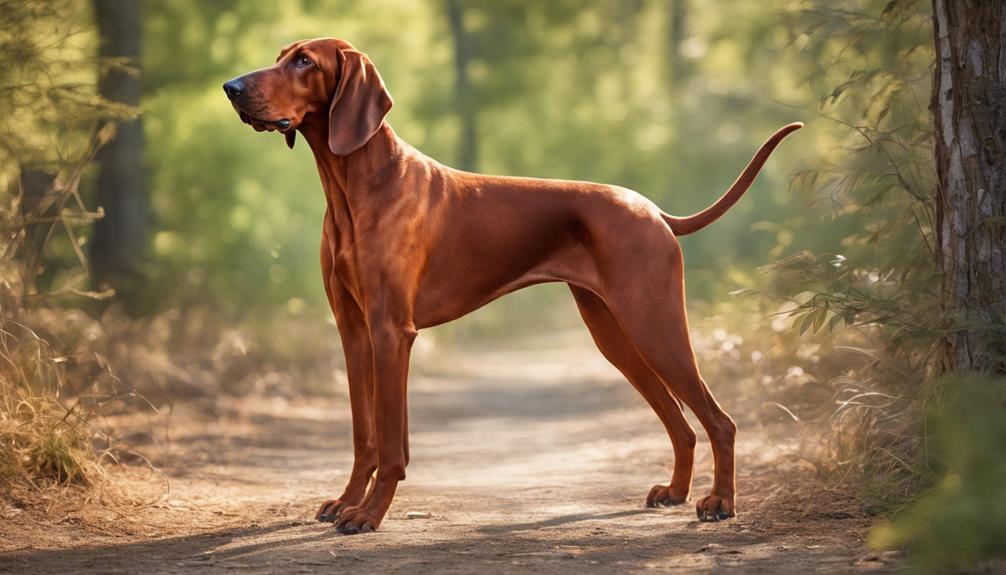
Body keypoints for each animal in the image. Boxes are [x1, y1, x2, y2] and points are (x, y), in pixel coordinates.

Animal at [226, 38, 800, 534]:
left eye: (304, 61)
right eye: (279, 55)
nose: (231, 87)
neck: (356, 185)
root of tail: (654, 210)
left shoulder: (391, 331)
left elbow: (389, 445)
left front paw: (368, 514)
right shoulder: (354, 330)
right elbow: (364, 436)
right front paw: (349, 501)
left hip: (654, 324)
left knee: (719, 420)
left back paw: (720, 502)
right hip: (615, 334)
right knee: (681, 423)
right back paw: (676, 493)